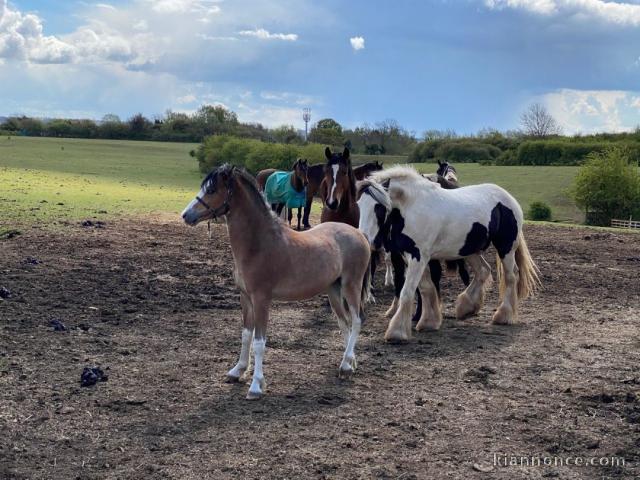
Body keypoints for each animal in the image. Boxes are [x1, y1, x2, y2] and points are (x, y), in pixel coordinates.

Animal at [182, 164, 371, 399]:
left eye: (212, 189)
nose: (186, 215)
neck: (258, 243)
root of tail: (359, 234)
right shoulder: (245, 297)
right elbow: (246, 335)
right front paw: (238, 370)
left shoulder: (261, 298)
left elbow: (259, 341)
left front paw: (256, 385)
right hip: (333, 290)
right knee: (344, 322)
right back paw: (349, 363)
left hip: (351, 285)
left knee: (357, 320)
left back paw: (346, 365)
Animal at [357, 166, 540, 342]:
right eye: (359, 205)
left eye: (379, 207)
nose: (364, 239)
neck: (413, 206)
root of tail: (508, 198)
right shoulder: (412, 256)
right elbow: (425, 288)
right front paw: (429, 322)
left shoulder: (419, 257)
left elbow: (407, 291)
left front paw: (397, 332)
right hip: (469, 250)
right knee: (483, 270)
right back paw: (466, 307)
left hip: (505, 248)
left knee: (511, 276)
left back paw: (503, 316)